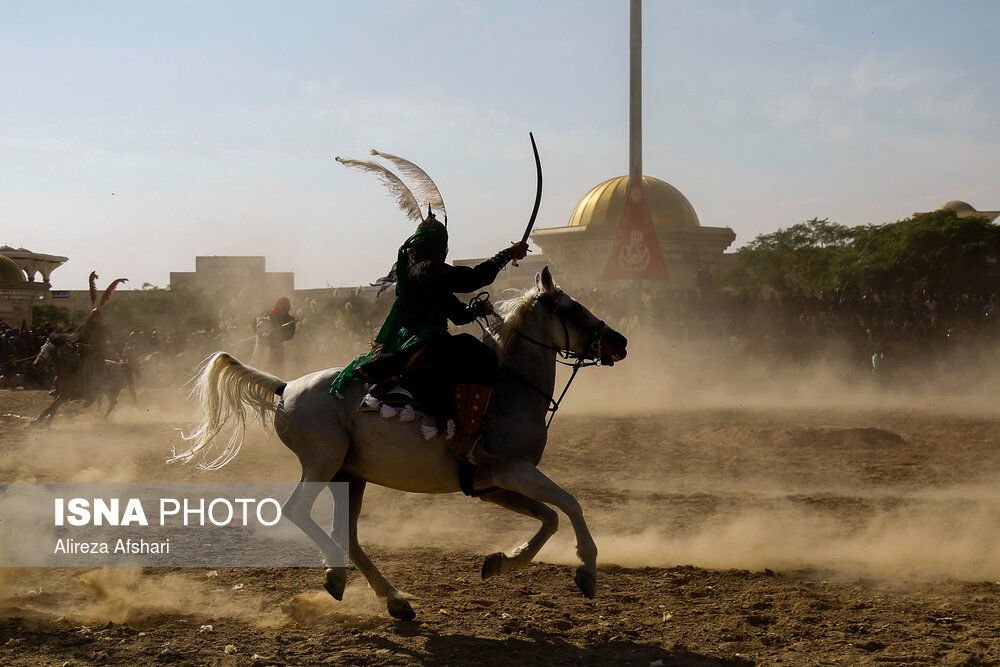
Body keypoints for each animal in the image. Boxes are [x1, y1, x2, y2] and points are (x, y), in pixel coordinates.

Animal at [171, 268, 624, 624]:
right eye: (573, 309)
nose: (620, 341)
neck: (509, 389)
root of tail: (286, 388)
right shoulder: (514, 470)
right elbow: (570, 505)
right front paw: (587, 570)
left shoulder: (494, 486)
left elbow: (549, 517)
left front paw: (500, 562)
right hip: (322, 462)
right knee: (299, 511)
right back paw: (340, 576)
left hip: (349, 476)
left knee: (349, 536)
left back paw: (390, 598)